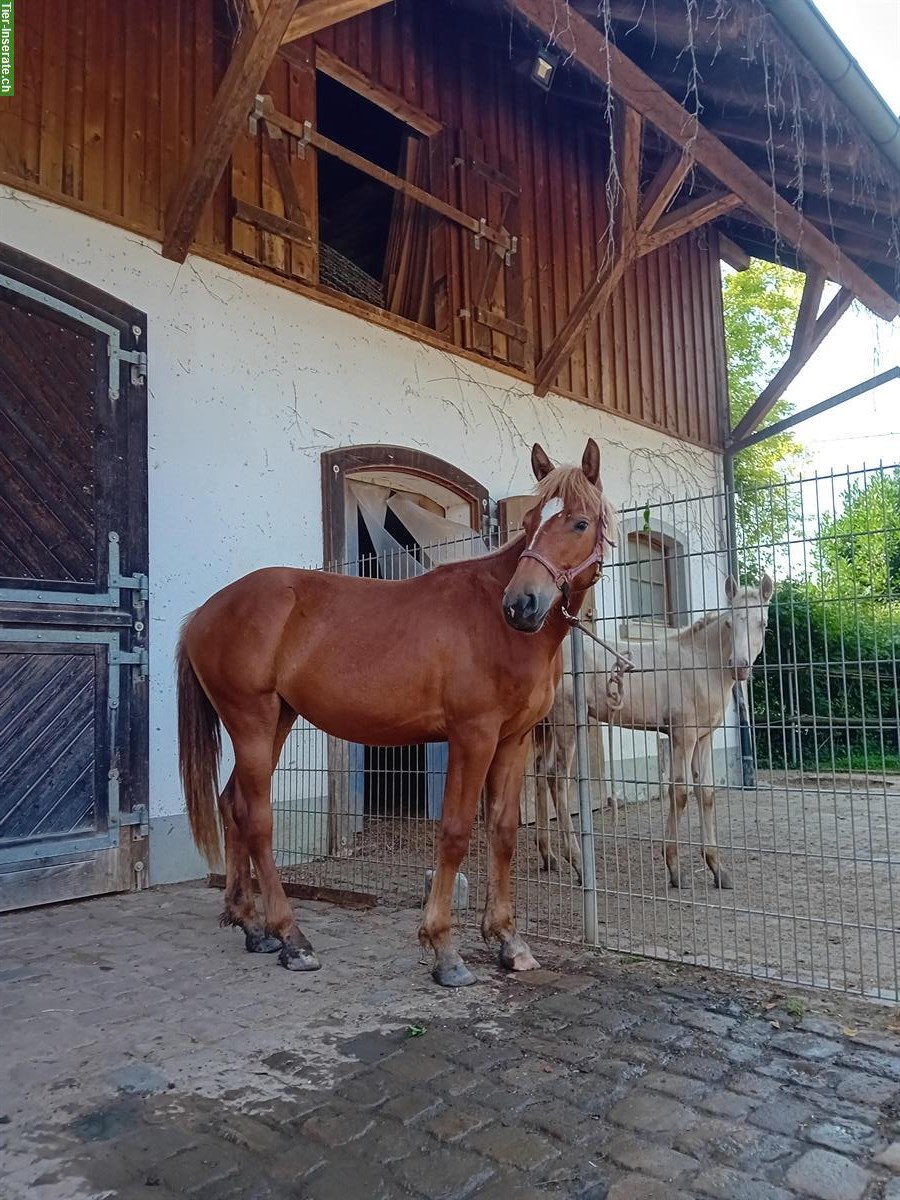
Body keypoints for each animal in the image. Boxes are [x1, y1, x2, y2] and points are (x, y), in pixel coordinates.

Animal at [176, 441, 619, 984]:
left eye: (578, 523)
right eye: (533, 520)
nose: (521, 604)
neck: (496, 628)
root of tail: (205, 613)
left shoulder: (512, 741)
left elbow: (504, 831)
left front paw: (509, 941)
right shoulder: (472, 736)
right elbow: (454, 833)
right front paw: (444, 950)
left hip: (276, 721)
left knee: (231, 804)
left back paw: (253, 926)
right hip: (252, 722)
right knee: (255, 818)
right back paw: (292, 938)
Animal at [535, 571, 777, 892]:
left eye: (763, 623)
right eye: (729, 623)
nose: (739, 667)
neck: (700, 663)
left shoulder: (704, 736)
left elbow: (706, 792)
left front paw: (718, 869)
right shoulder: (683, 735)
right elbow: (680, 791)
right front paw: (674, 868)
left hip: (545, 725)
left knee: (539, 772)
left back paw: (548, 856)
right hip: (565, 719)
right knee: (557, 777)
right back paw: (577, 863)